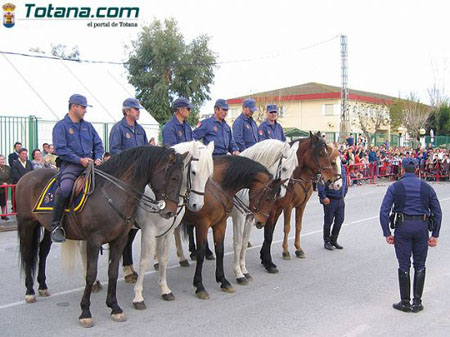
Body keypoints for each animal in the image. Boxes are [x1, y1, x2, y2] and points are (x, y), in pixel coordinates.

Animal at [16, 146, 186, 326]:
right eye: (174, 178)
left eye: (182, 178)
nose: (170, 212)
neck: (114, 193)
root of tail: (26, 177)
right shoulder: (94, 241)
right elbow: (91, 274)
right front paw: (85, 312)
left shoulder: (119, 240)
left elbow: (113, 272)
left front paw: (114, 307)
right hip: (27, 224)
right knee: (28, 254)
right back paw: (30, 291)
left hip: (47, 228)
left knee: (42, 252)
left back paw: (42, 286)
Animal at [131, 140, 214, 310]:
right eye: (193, 172)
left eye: (208, 174)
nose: (197, 205)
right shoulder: (148, 231)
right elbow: (144, 261)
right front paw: (138, 296)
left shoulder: (167, 232)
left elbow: (163, 259)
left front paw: (164, 289)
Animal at [232, 139, 298, 284]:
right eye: (284, 168)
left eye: (293, 169)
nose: (281, 194)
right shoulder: (239, 215)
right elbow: (238, 243)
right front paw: (238, 273)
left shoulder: (251, 216)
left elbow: (244, 242)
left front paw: (244, 271)